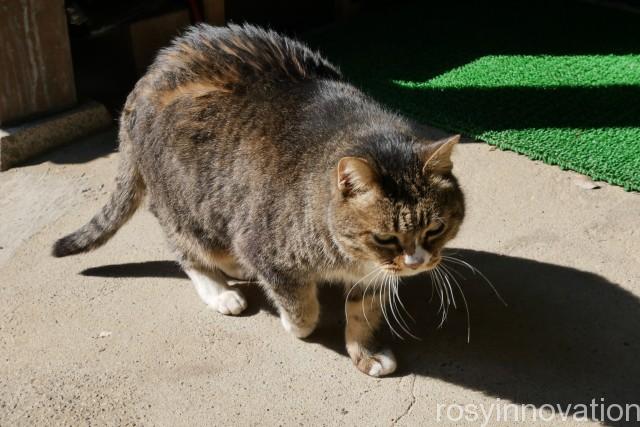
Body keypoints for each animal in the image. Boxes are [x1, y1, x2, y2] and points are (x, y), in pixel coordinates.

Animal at [52, 23, 464, 378]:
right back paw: (220, 291)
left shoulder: (373, 275)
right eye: (385, 238)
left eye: (436, 229)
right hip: (189, 206)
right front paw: (294, 322)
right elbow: (303, 310)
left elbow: (362, 312)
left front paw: (366, 352)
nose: (417, 263)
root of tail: (145, 79)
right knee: (188, 250)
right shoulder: (267, 248)